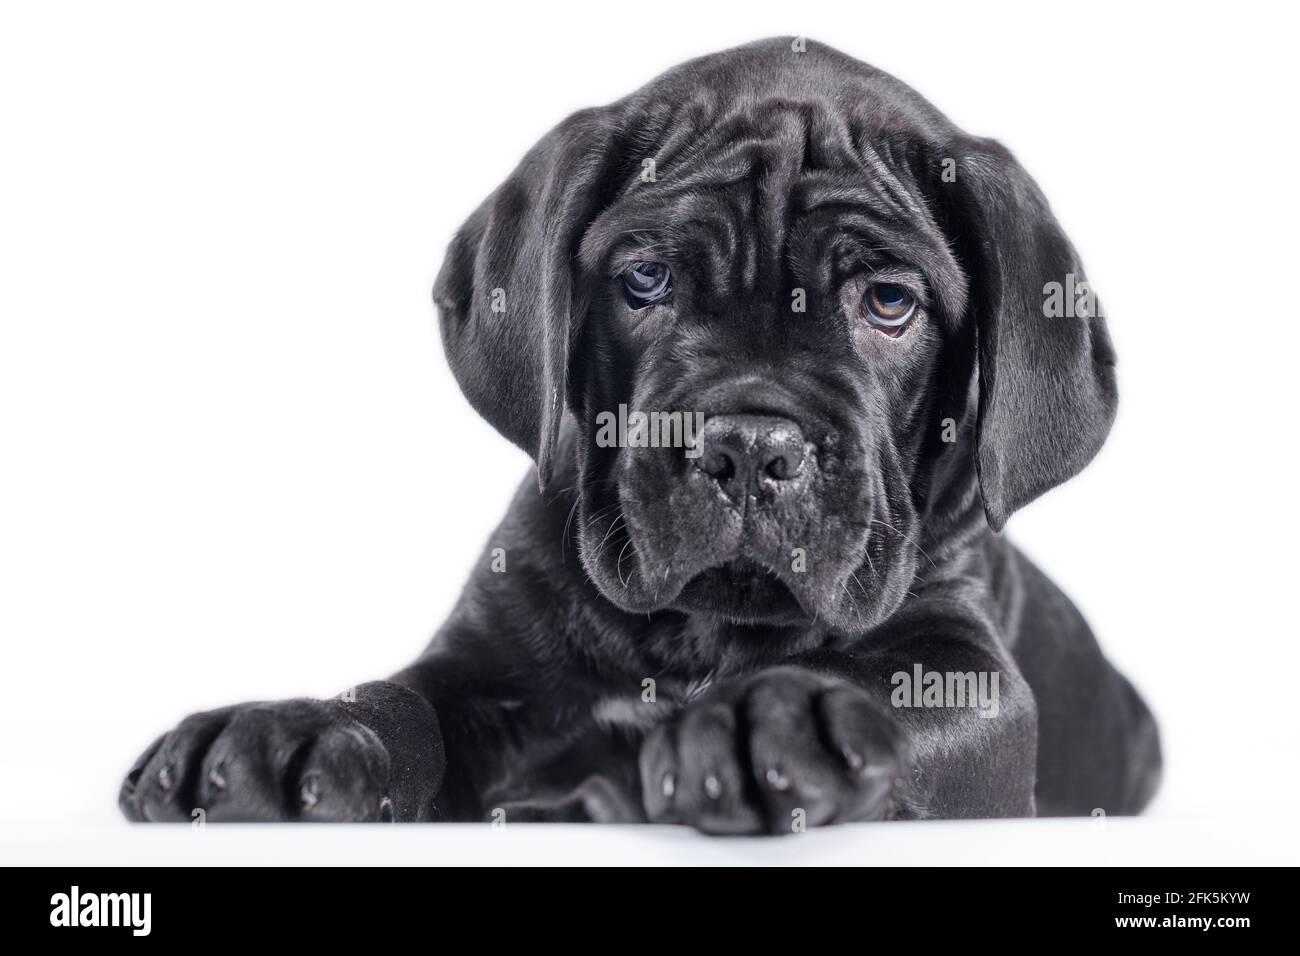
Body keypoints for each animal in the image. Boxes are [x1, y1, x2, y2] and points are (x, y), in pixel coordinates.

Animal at [119, 39, 1159, 832]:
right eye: (647, 279)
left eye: (890, 302)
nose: (751, 450)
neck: (700, 633)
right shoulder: (481, 667)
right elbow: (399, 700)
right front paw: (288, 731)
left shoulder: (967, 670)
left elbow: (882, 687)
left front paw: (774, 721)